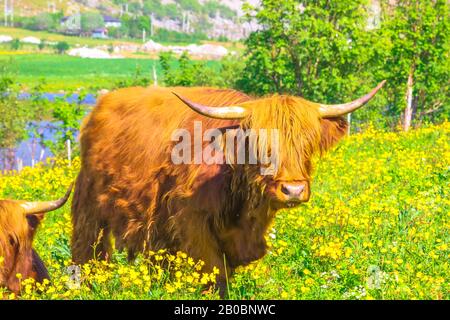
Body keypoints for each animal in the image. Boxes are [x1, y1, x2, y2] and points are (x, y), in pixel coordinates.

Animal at [72, 82, 384, 296]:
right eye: (261, 145)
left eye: (307, 144)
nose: (293, 190)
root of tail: (103, 102)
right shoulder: (192, 223)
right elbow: (216, 276)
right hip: (89, 206)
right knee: (89, 251)